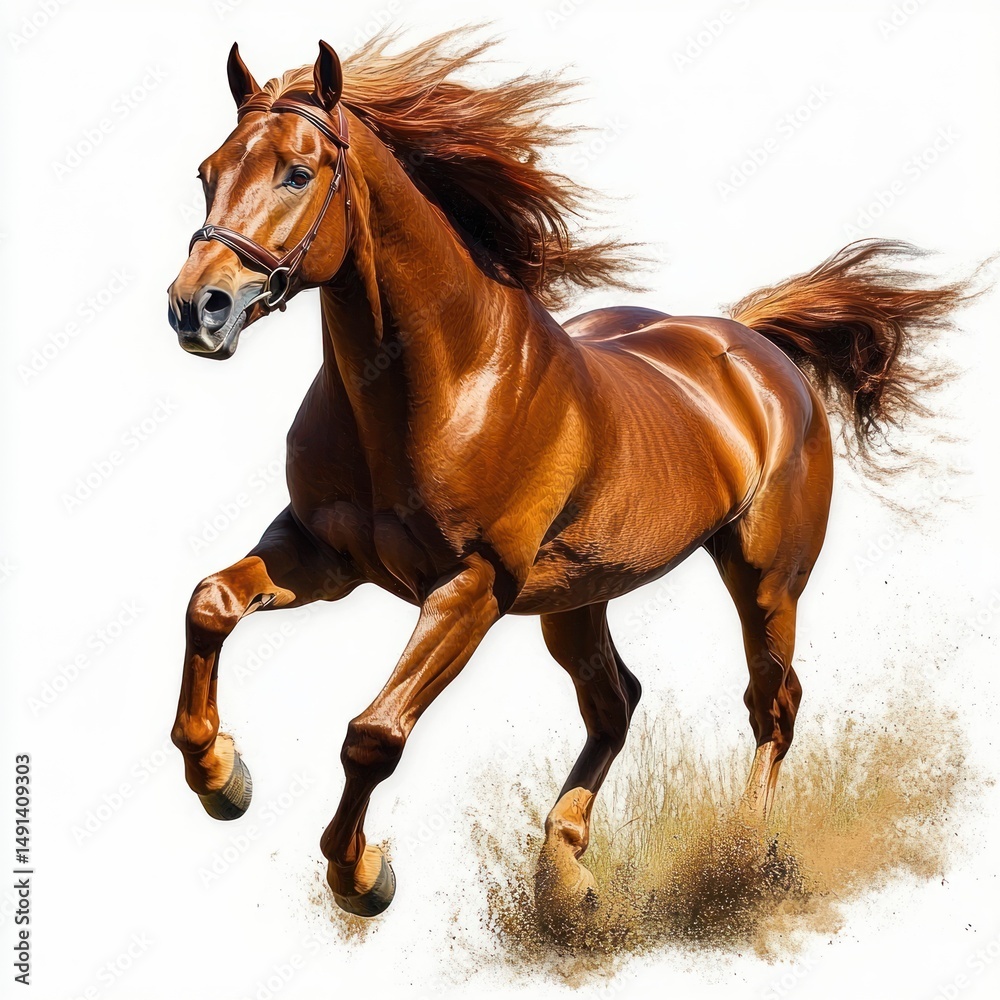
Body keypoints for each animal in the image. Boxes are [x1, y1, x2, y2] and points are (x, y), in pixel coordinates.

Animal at [166, 33, 971, 919]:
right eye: (207, 169)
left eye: (297, 173)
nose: (196, 307)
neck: (439, 385)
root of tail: (752, 344)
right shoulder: (322, 554)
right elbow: (210, 603)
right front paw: (220, 776)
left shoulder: (471, 587)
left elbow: (374, 735)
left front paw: (361, 875)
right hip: (577, 599)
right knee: (617, 704)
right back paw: (565, 868)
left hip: (765, 581)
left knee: (773, 706)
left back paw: (738, 856)